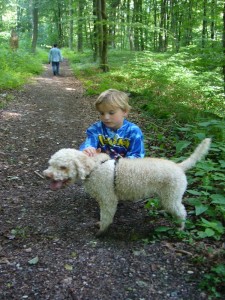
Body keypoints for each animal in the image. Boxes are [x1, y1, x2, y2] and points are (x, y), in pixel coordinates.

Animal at [43, 139, 211, 237]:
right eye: (50, 164)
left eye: (63, 167)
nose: (46, 175)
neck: (94, 167)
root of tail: (179, 166)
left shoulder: (108, 200)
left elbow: (106, 217)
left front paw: (101, 231)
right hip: (168, 197)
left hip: (172, 197)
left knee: (182, 212)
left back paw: (180, 229)